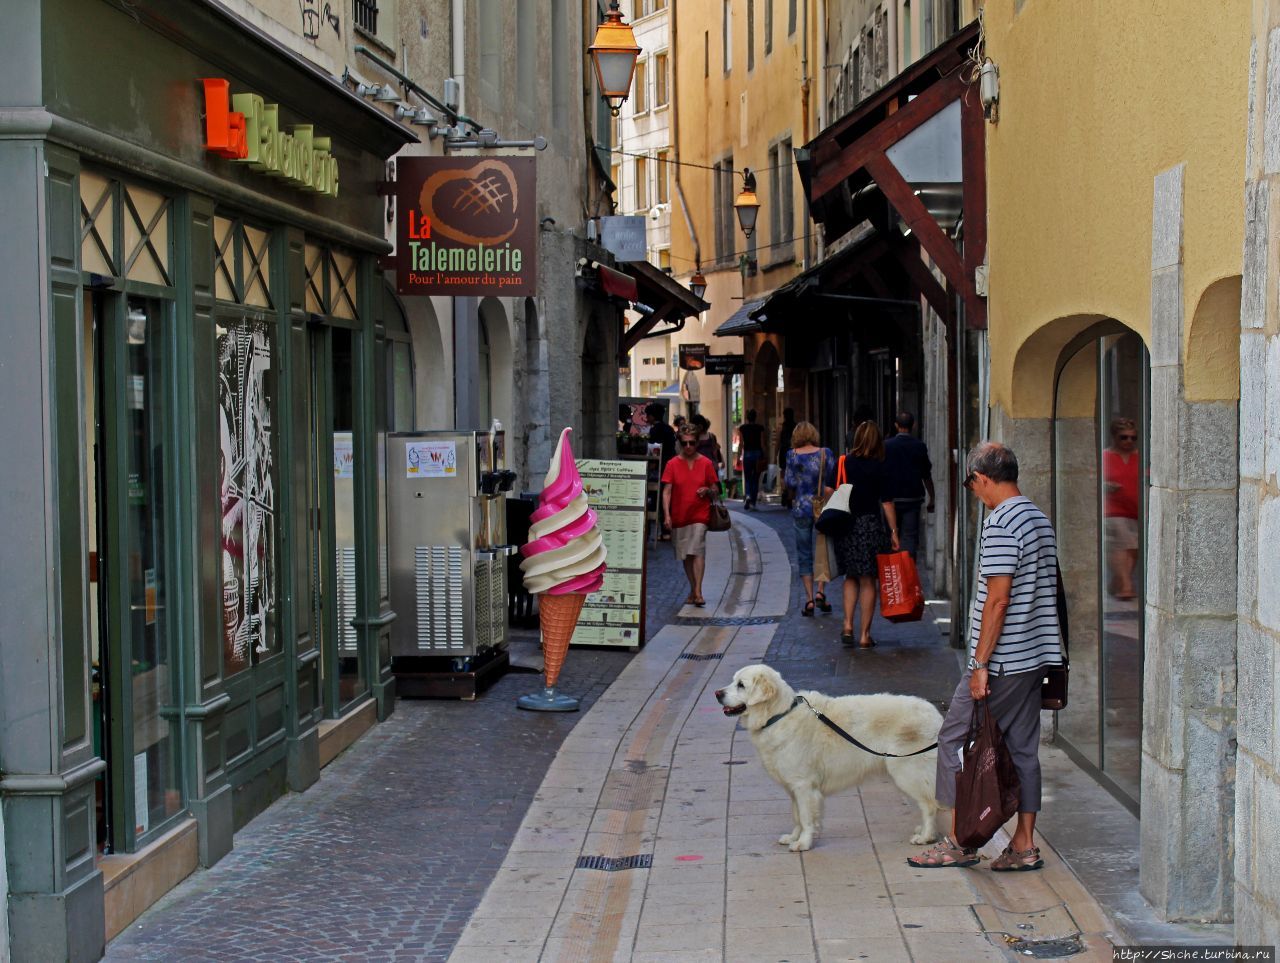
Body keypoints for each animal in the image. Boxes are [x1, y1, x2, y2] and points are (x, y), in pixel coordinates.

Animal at [716, 660, 947, 850]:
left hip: (908, 772)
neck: (778, 715)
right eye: (733, 681)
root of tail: (936, 715)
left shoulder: (803, 785)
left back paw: (925, 836)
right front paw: (793, 837)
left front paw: (803, 843)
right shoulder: (793, 788)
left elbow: (806, 818)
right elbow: (796, 816)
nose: (717, 693)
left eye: (741, 685)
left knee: (929, 805)